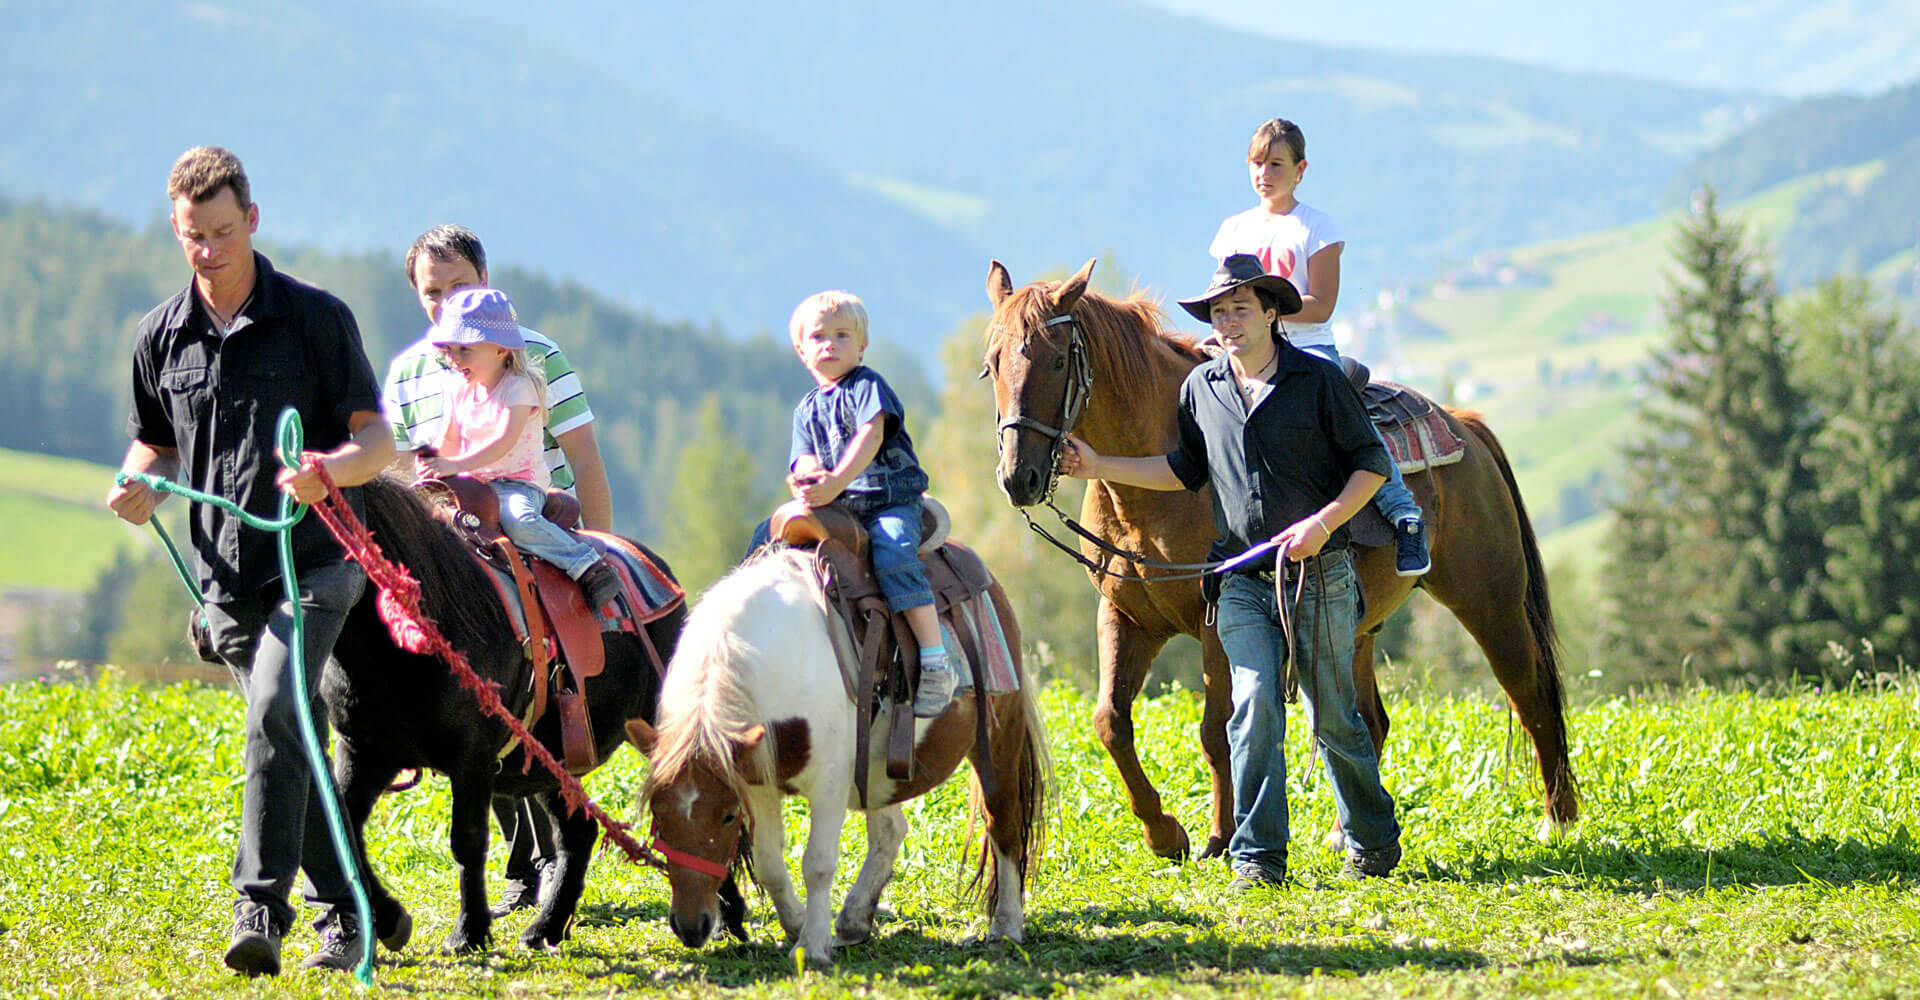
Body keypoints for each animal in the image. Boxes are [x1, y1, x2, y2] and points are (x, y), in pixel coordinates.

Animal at [318, 476, 737, 952]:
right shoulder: (363, 751)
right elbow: (342, 828)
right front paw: (391, 920)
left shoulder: (472, 758)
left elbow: (467, 842)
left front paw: (469, 932)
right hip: (549, 760)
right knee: (579, 832)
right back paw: (547, 927)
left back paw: (724, 920)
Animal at [983, 257, 1566, 856]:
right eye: (992, 364)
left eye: (1056, 360)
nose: (1018, 476)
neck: (1150, 497)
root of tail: (1464, 425)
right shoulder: (1125, 616)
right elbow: (1110, 722)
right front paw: (1165, 833)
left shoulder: (1214, 621)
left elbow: (1216, 729)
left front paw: (1219, 836)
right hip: (1354, 628)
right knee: (1366, 720)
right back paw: (1343, 835)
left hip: (1490, 604)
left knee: (1532, 693)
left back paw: (1558, 821)